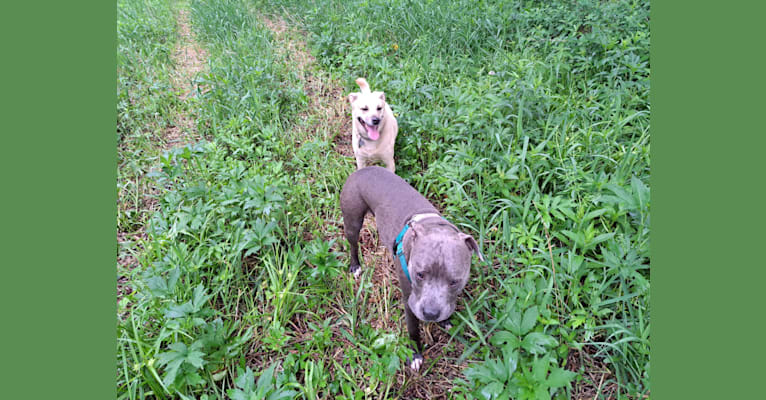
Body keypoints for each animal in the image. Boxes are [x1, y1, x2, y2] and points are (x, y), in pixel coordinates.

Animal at [344, 166, 486, 372]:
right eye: (419, 274)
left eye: (454, 281)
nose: (431, 314)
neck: (434, 227)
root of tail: (364, 169)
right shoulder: (410, 301)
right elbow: (413, 330)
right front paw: (415, 356)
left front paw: (444, 321)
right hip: (352, 220)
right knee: (353, 244)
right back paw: (355, 265)